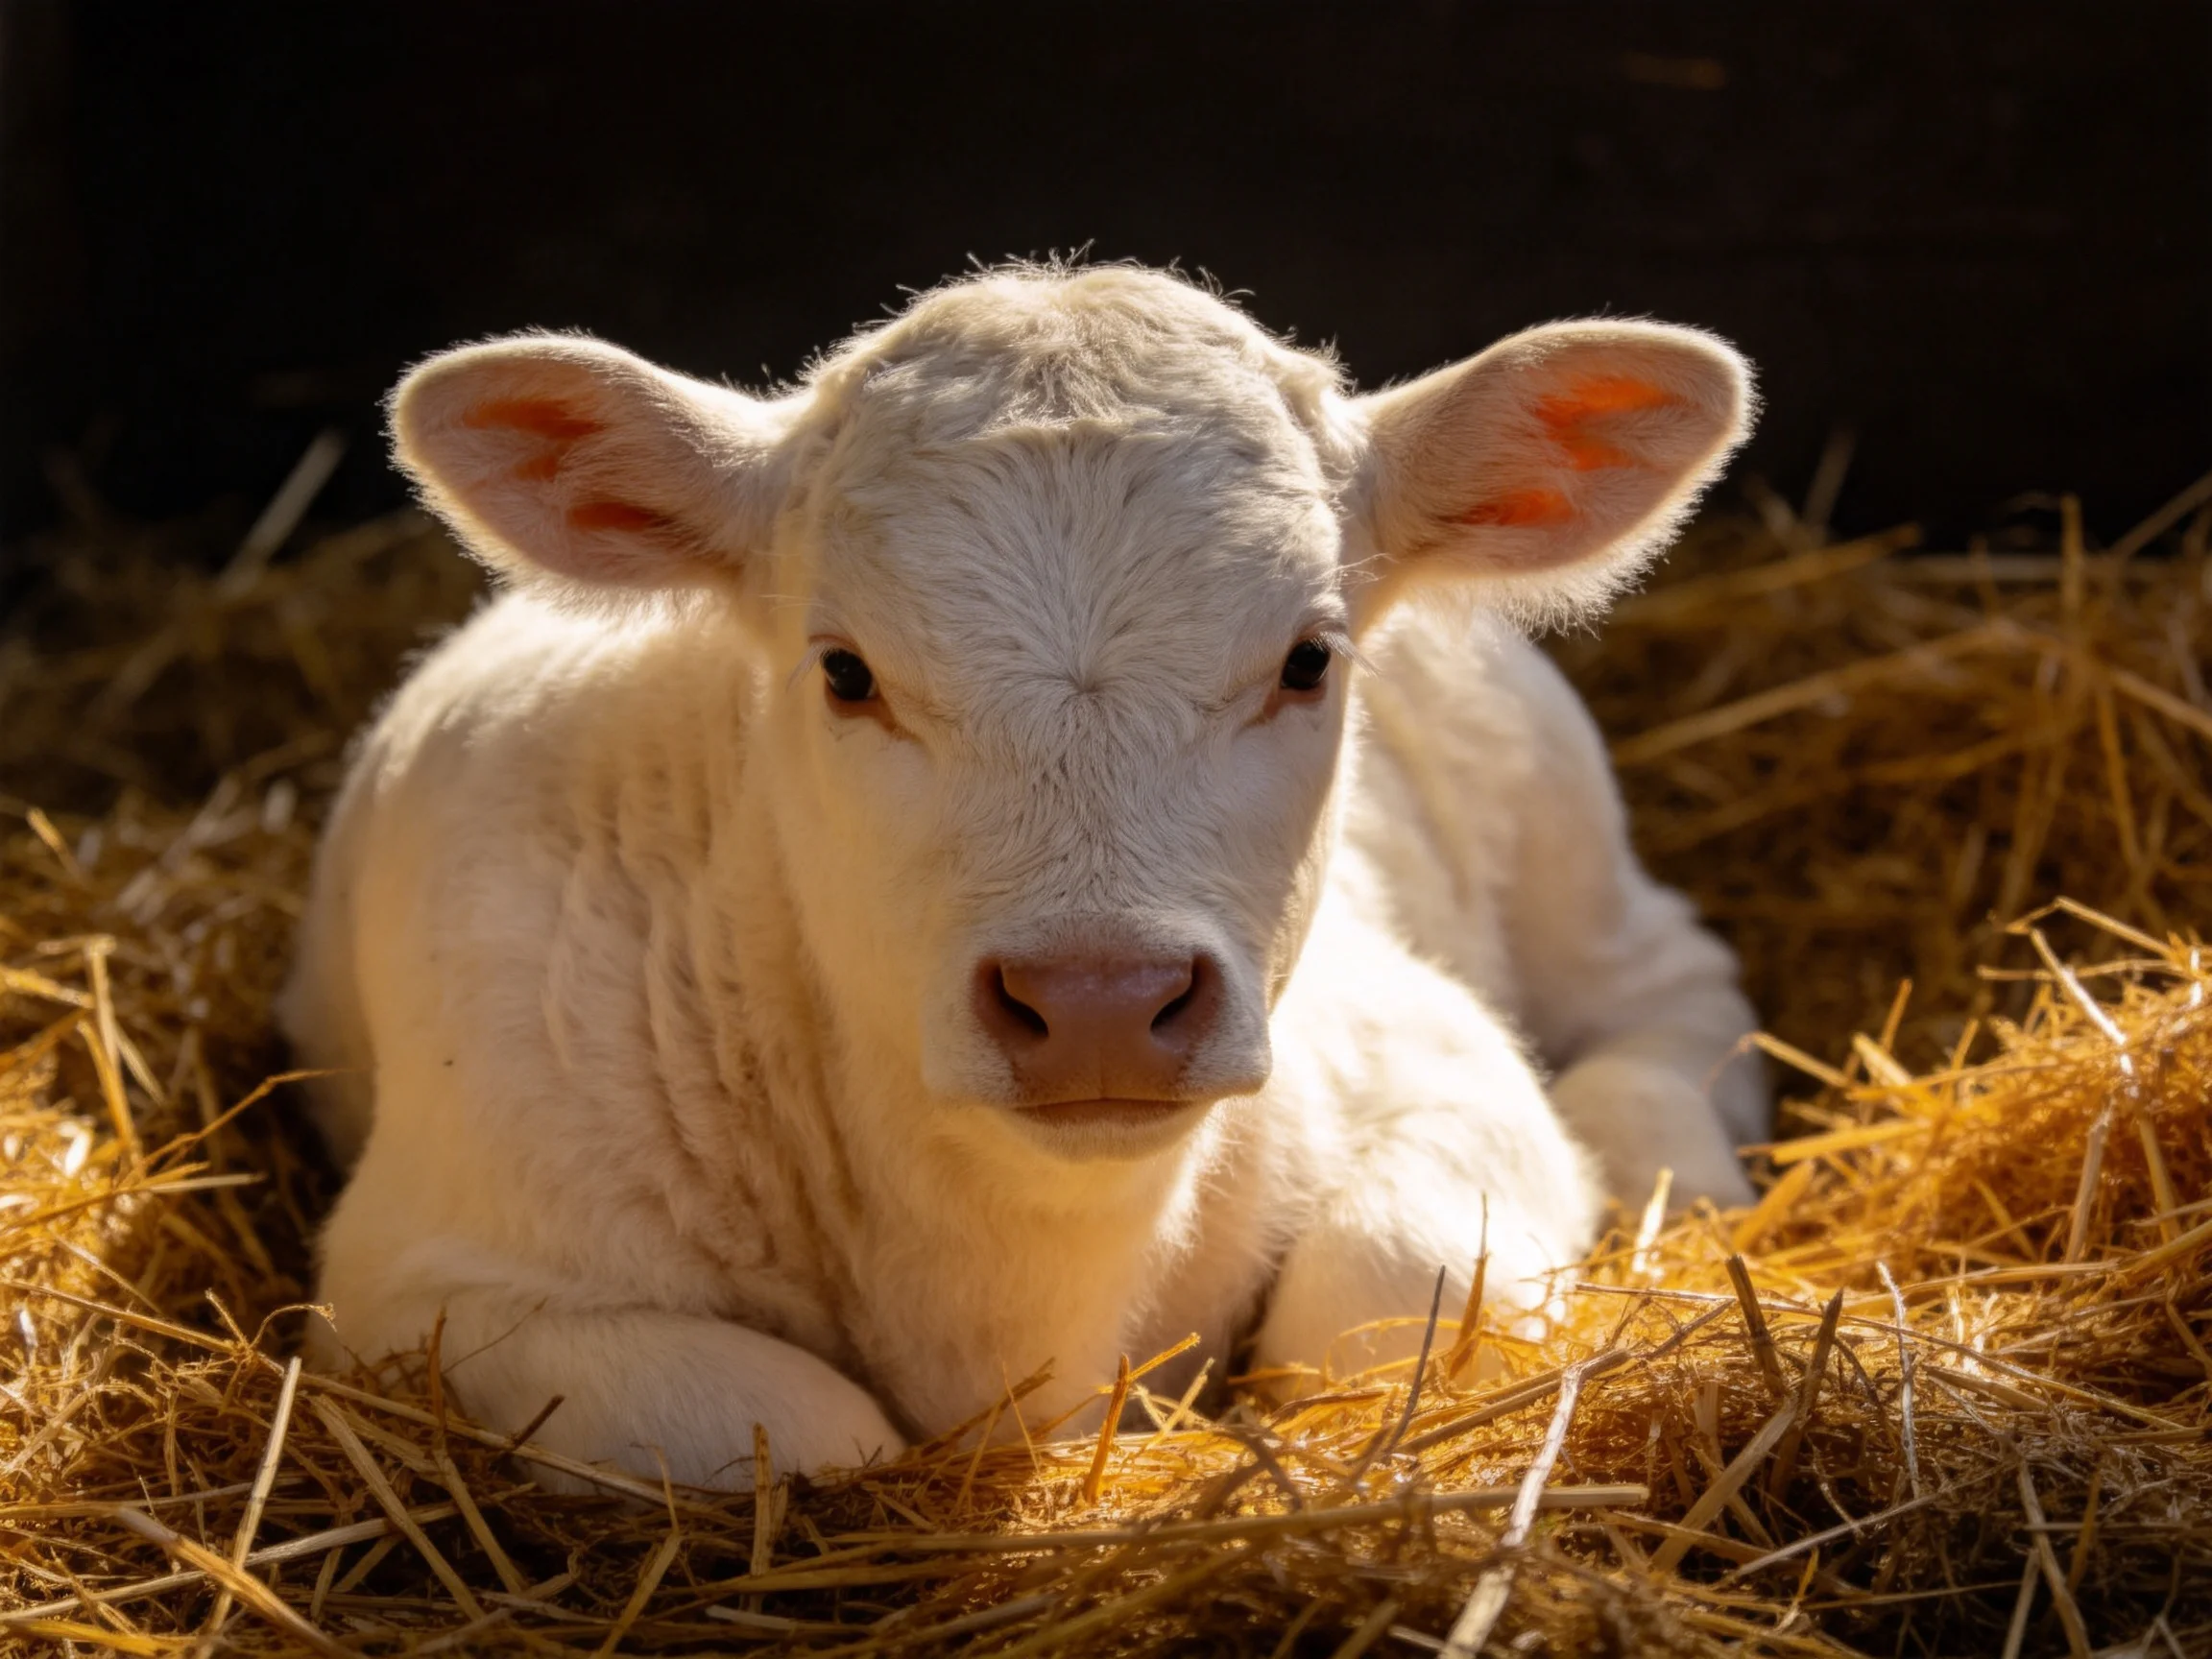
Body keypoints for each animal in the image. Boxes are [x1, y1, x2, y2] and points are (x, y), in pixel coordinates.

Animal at [281, 264, 1765, 1489]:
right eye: (845, 672)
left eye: (1308, 658)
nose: (1101, 1000)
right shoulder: (429, 1277)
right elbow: (797, 1436)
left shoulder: (1438, 1059)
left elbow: (1374, 1308)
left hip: (1566, 847)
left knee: (1679, 987)